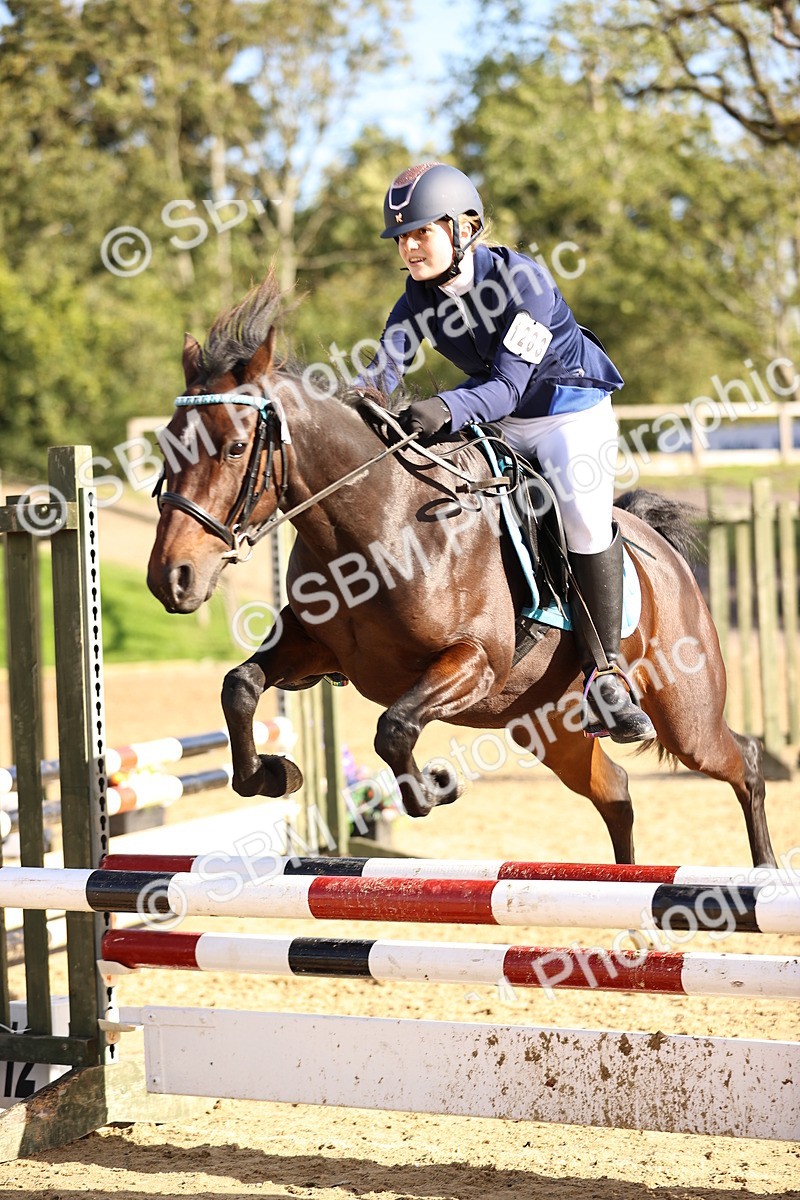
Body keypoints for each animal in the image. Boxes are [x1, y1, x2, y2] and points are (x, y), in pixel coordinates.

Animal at [147, 274, 776, 867]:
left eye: (234, 448)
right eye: (168, 445)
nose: (171, 578)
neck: (382, 523)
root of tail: (661, 549)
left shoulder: (474, 662)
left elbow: (394, 729)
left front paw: (437, 786)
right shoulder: (316, 648)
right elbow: (240, 687)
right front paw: (275, 774)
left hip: (685, 715)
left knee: (741, 761)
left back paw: (764, 869)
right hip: (549, 725)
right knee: (615, 791)